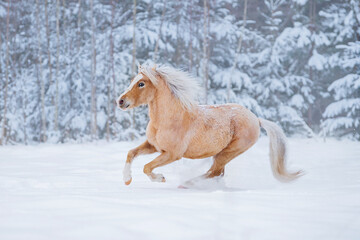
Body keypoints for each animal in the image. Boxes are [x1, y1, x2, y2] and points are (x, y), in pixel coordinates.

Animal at [117, 63, 300, 186]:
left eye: (141, 84)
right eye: (133, 80)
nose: (120, 101)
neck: (168, 120)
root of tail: (256, 119)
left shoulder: (172, 154)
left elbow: (147, 167)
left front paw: (160, 178)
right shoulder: (153, 146)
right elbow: (131, 153)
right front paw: (127, 180)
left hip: (228, 152)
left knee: (214, 172)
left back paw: (187, 184)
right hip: (222, 154)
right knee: (217, 173)